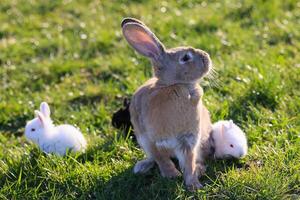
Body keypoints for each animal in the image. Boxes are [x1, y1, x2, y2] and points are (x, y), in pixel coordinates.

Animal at [120, 17, 212, 191]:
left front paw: (194, 185)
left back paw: (200, 169)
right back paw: (141, 167)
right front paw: (172, 175)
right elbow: (161, 159)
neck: (177, 85)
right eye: (185, 57)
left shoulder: (188, 140)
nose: (207, 57)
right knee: (153, 158)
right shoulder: (151, 140)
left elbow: (189, 163)